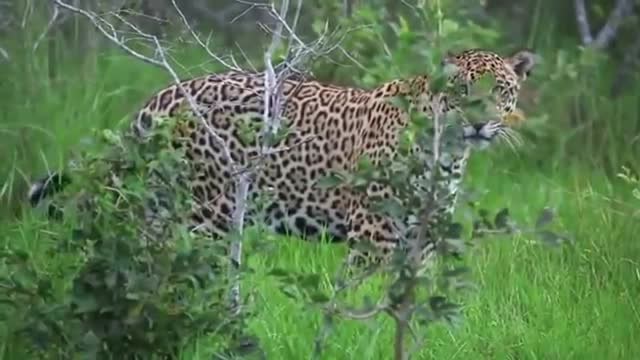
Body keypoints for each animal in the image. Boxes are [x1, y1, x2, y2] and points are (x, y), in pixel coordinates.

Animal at [30, 47, 536, 268]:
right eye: (462, 91)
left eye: (500, 91)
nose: (479, 123)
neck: (446, 149)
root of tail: (160, 98)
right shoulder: (374, 233)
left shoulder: (422, 236)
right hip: (206, 213)